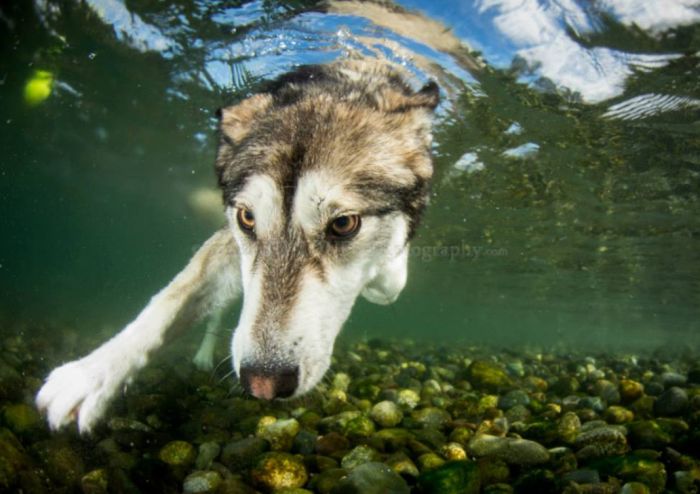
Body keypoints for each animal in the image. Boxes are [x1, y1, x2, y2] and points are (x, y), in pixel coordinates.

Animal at [35, 60, 438, 432]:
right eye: (247, 218)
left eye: (343, 224)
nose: (263, 383)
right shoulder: (229, 242)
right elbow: (170, 300)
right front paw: (93, 373)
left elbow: (390, 280)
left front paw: (385, 271)